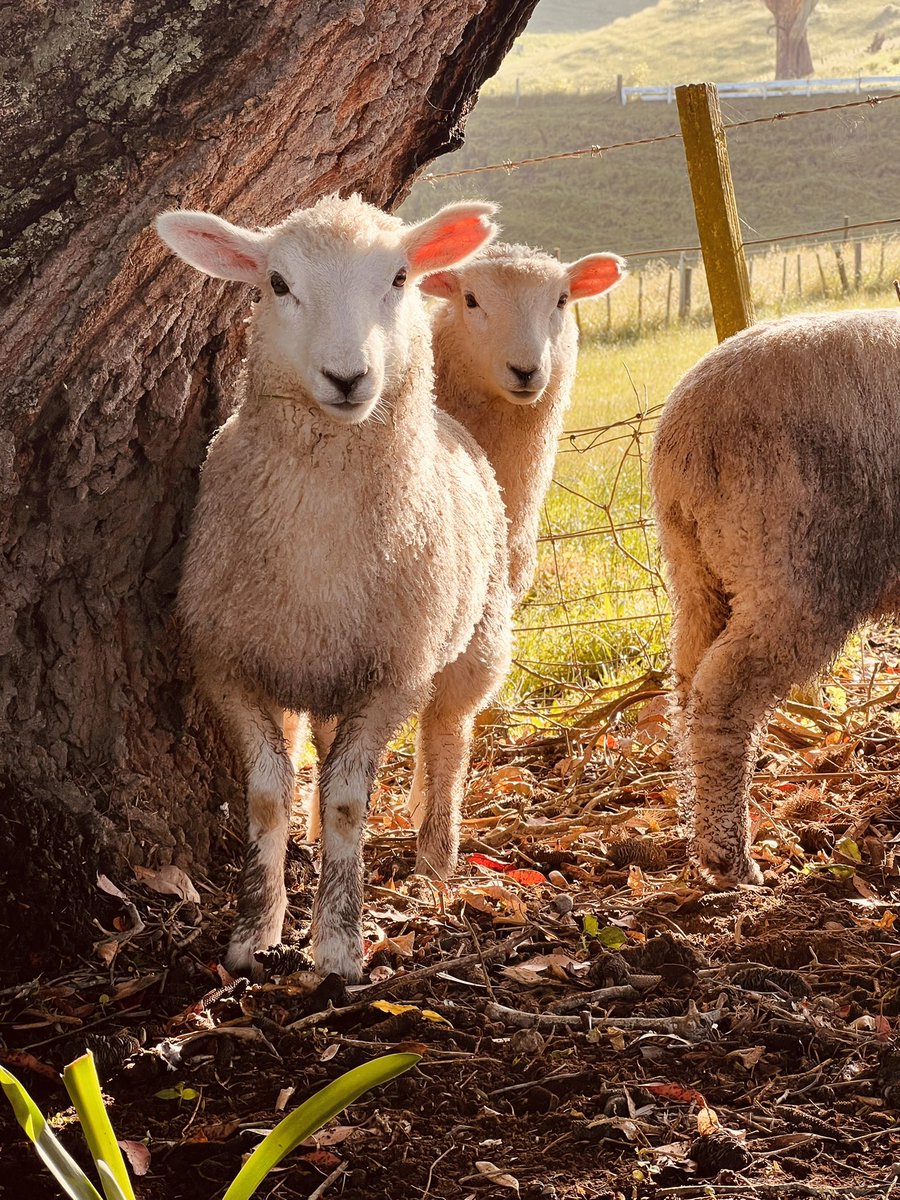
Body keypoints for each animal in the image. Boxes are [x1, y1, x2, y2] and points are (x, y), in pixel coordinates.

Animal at [154, 194, 512, 981]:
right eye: (277, 284)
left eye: (400, 278)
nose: (348, 378)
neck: (321, 548)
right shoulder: (228, 666)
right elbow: (267, 797)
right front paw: (255, 931)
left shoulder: (394, 675)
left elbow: (352, 801)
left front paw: (339, 944)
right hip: (319, 669)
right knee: (320, 744)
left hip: (474, 643)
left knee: (449, 738)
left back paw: (435, 861)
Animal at [649, 308, 900, 887]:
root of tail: (685, 429)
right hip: (792, 573)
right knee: (722, 694)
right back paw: (730, 857)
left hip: (698, 573)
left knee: (686, 683)